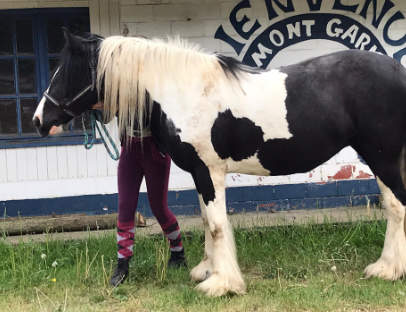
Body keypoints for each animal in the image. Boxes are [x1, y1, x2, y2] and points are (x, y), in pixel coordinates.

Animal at [33, 29, 406, 298]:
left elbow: (215, 224)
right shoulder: (202, 173)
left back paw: (387, 269)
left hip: (382, 157)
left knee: (396, 206)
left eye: (65, 72)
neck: (183, 92)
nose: (39, 121)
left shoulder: (209, 171)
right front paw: (208, 271)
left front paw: (221, 285)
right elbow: (206, 220)